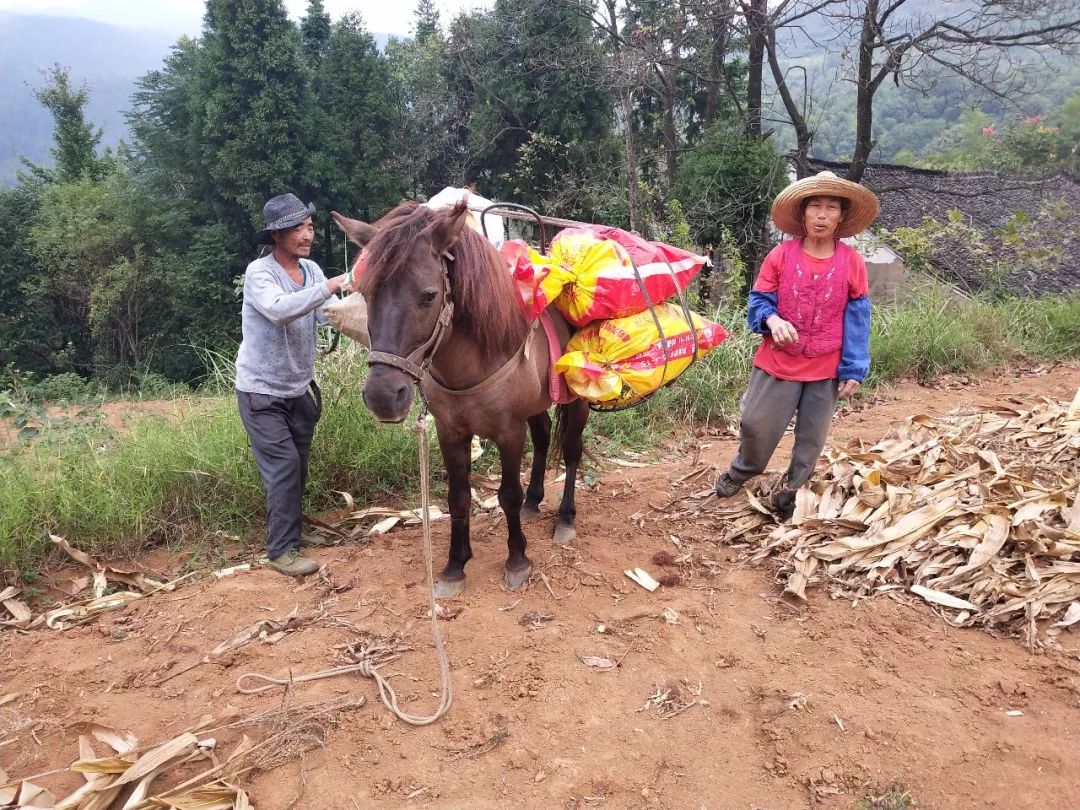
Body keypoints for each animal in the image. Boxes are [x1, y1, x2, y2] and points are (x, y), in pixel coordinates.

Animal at [334, 199, 596, 600]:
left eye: (428, 296)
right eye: (365, 293)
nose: (383, 397)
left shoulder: (508, 433)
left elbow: (507, 494)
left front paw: (517, 561)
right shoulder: (450, 432)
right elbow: (457, 496)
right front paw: (454, 565)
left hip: (576, 402)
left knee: (570, 451)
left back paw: (565, 518)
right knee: (542, 436)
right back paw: (535, 501)